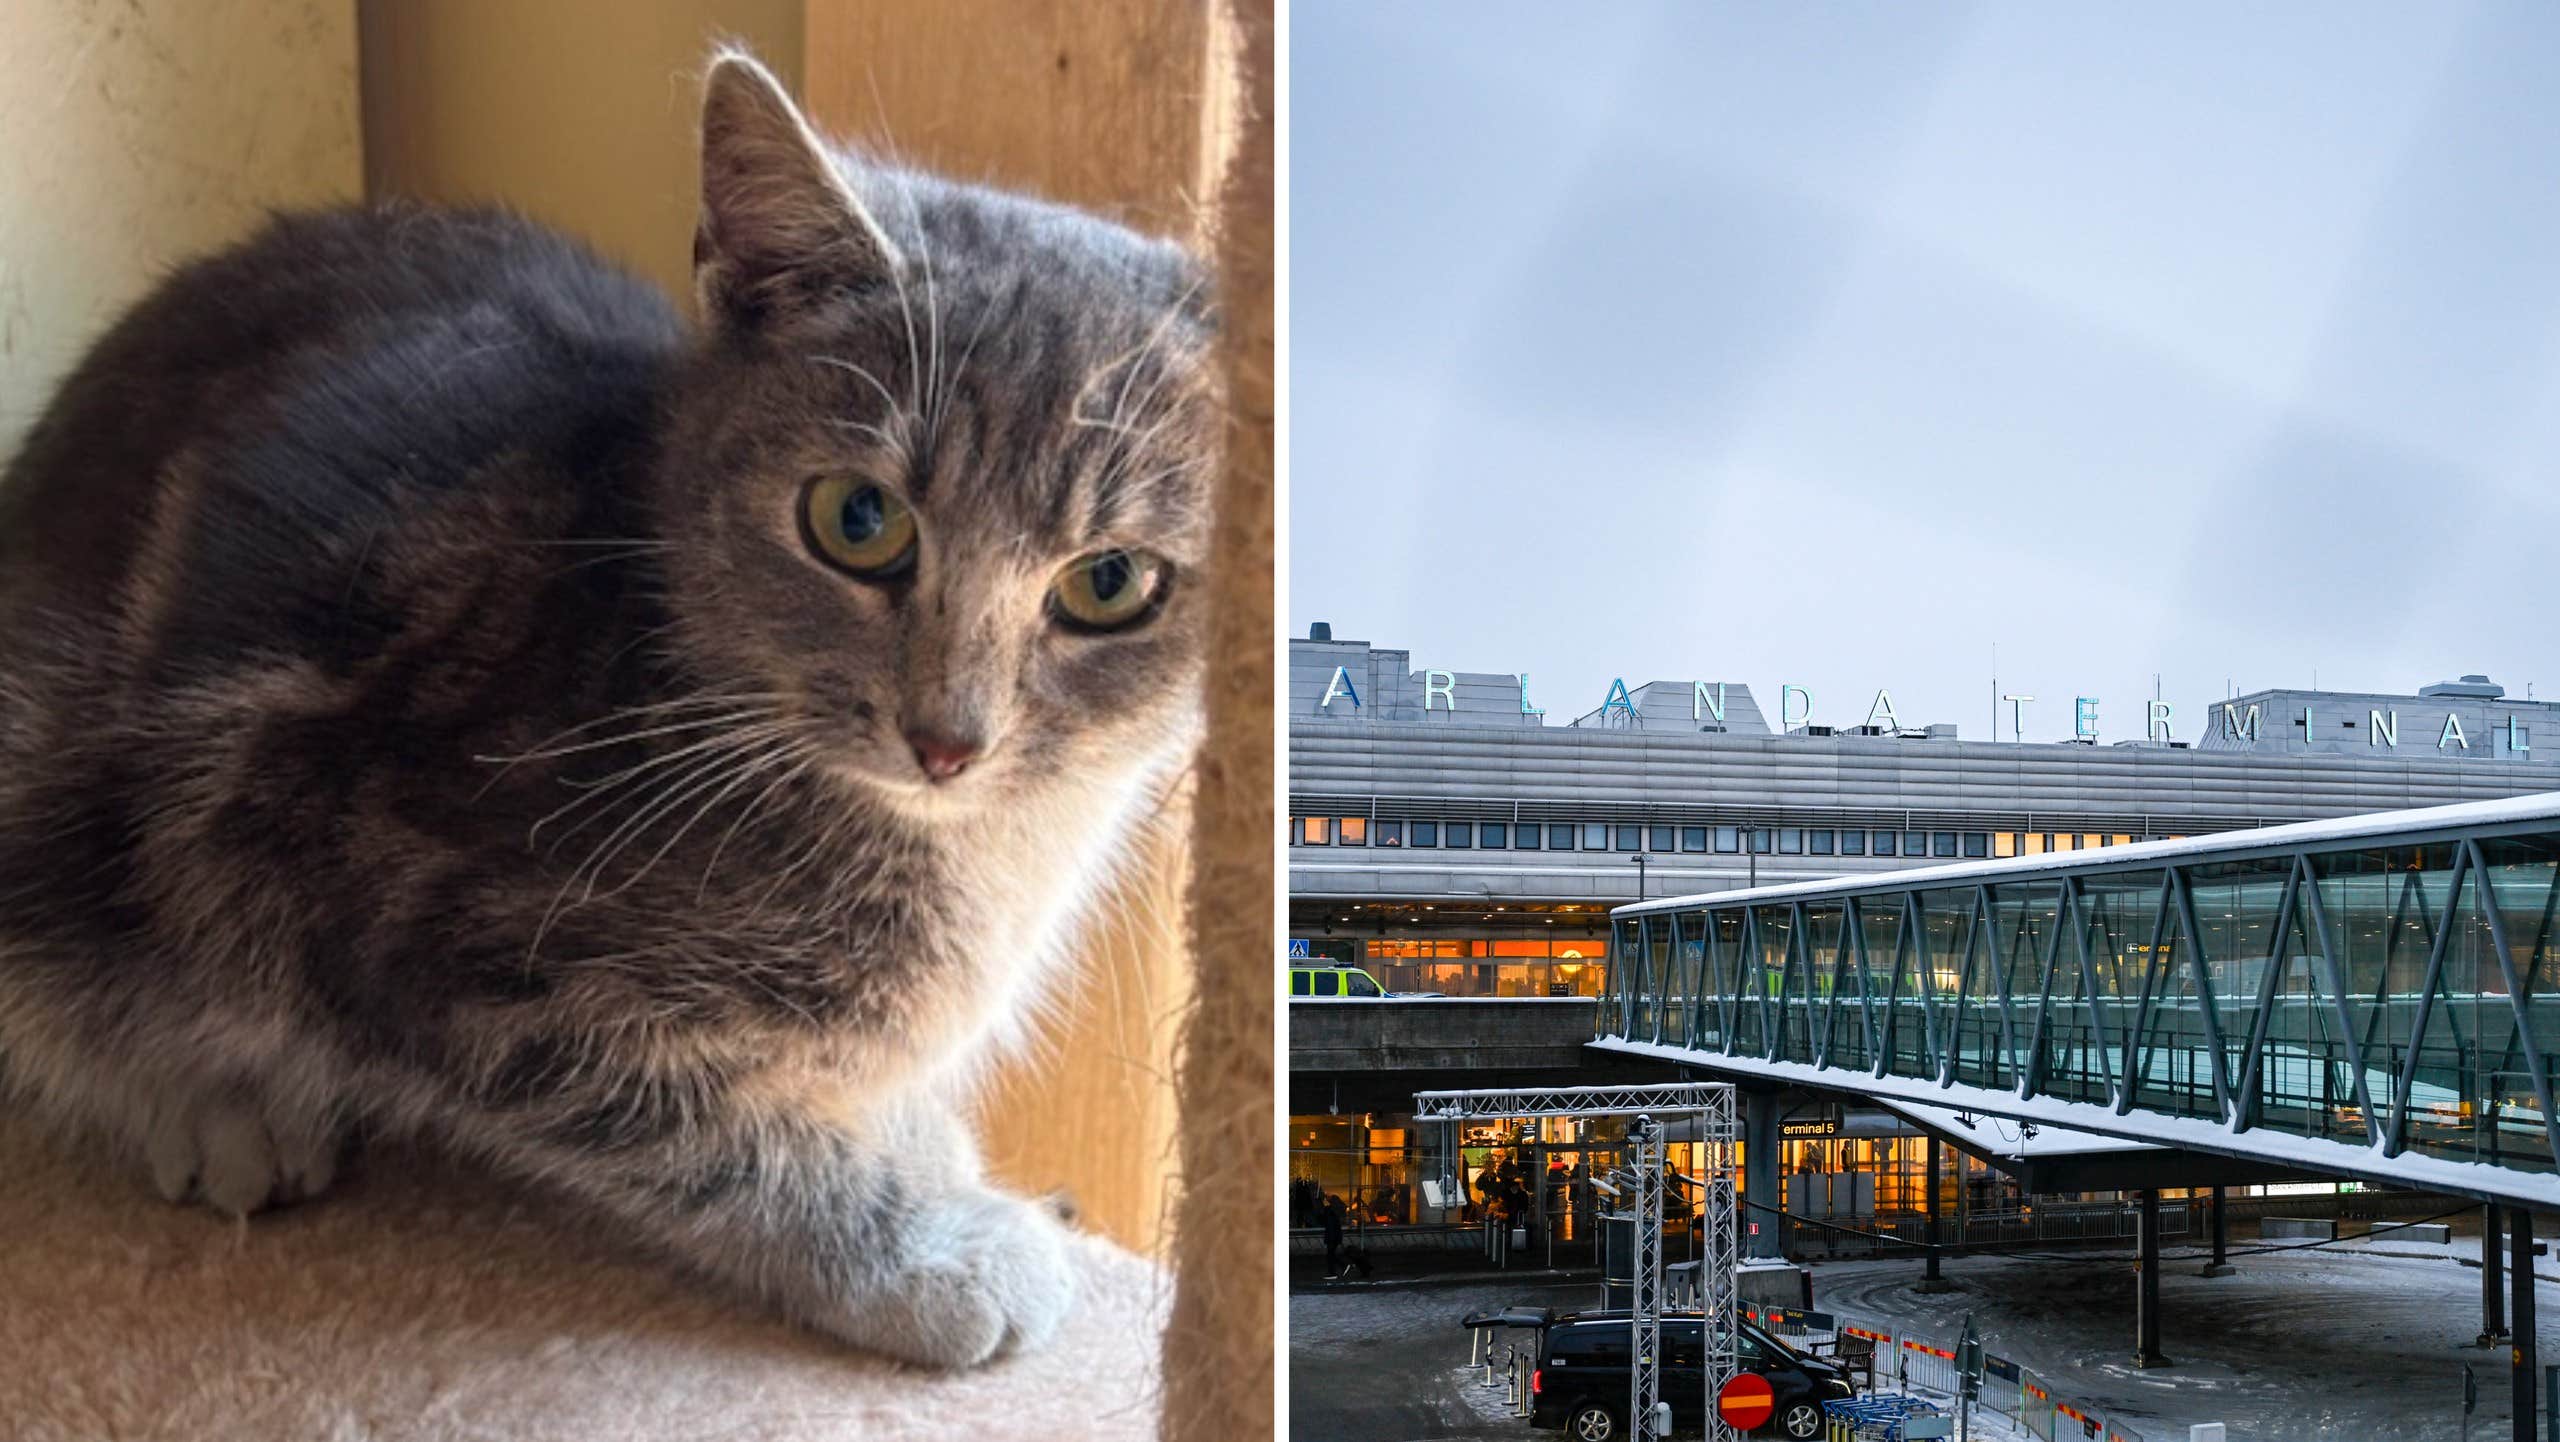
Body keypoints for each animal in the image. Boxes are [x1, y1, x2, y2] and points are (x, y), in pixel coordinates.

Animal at [0, 50, 1213, 1372]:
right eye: (858, 519)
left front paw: (915, 1142)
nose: (948, 738)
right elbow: (697, 1131)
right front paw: (921, 1245)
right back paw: (218, 1108)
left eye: (1109, 583)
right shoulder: (402, 903)